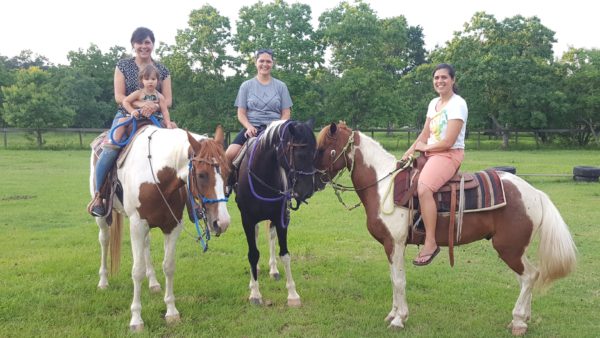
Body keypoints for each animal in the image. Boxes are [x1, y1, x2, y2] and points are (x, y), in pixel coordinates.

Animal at [88, 125, 230, 330]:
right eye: (202, 174)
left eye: (228, 172)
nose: (222, 222)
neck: (156, 177)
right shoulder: (137, 225)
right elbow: (137, 271)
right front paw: (136, 319)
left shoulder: (172, 226)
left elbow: (168, 266)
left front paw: (171, 311)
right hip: (103, 217)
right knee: (104, 241)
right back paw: (103, 281)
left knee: (146, 245)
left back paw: (153, 283)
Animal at [314, 122, 576, 336]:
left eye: (323, 148)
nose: (314, 179)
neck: (383, 185)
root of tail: (535, 193)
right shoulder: (390, 247)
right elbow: (393, 278)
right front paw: (393, 314)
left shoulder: (394, 244)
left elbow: (399, 280)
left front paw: (399, 319)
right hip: (514, 250)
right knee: (527, 278)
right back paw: (524, 318)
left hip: (509, 249)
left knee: (530, 276)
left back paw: (519, 321)